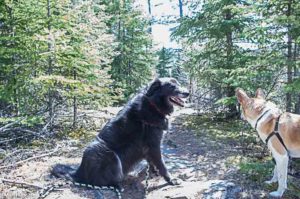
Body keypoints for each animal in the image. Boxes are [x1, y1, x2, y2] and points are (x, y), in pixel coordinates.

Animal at [51, 77, 188, 190]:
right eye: (171, 86)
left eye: (179, 83)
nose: (187, 93)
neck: (153, 104)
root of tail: (79, 172)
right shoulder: (153, 144)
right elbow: (162, 164)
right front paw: (171, 179)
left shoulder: (148, 147)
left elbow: (152, 161)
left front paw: (154, 173)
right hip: (103, 152)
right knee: (95, 182)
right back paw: (115, 185)